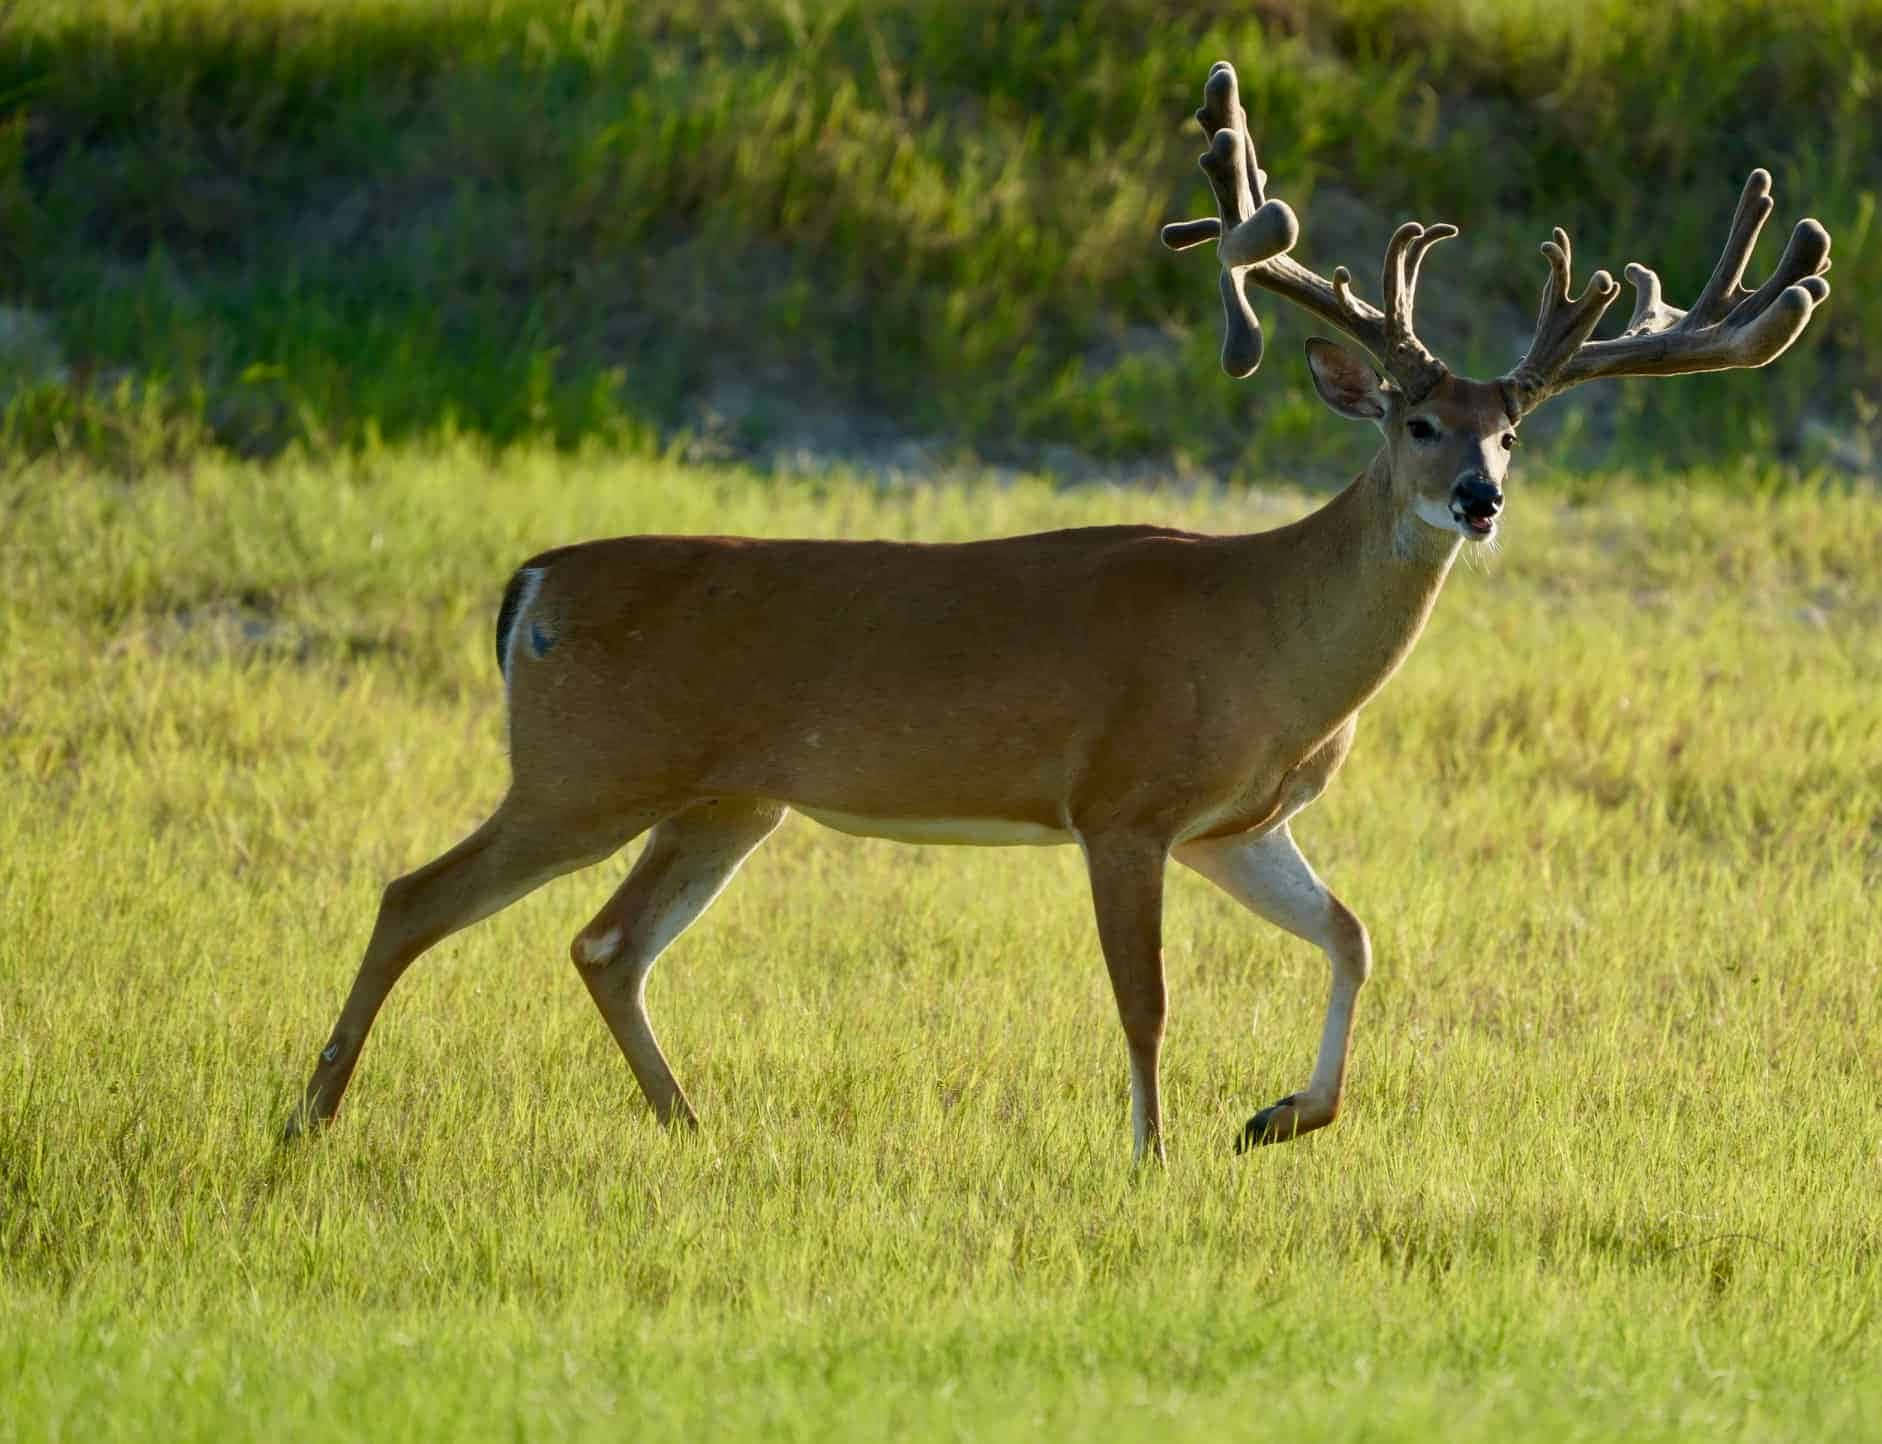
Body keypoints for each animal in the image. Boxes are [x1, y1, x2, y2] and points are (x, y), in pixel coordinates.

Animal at [285, 61, 1832, 1163]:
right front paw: (1153, 1157)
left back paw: (693, 1127)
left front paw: (1278, 1119)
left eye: (1512, 430)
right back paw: (309, 1115)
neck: (1264, 638)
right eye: (1412, 418)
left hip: (727, 797)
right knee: (418, 894)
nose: (1476, 499)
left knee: (605, 944)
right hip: (589, 765)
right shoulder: (1122, 800)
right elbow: (1145, 999)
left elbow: (1352, 934)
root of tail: (533, 581)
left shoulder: (1235, 822)